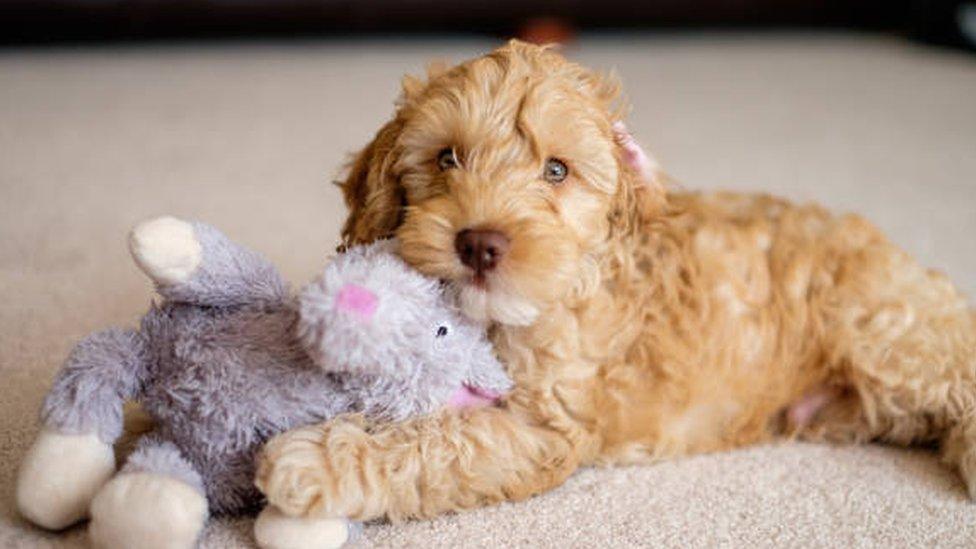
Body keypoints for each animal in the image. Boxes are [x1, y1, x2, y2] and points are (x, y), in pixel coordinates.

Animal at [254, 39, 976, 528]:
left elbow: (442, 441)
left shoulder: (543, 429)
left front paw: (312, 460)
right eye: (446, 158)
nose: (480, 243)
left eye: (556, 170)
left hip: (887, 336)